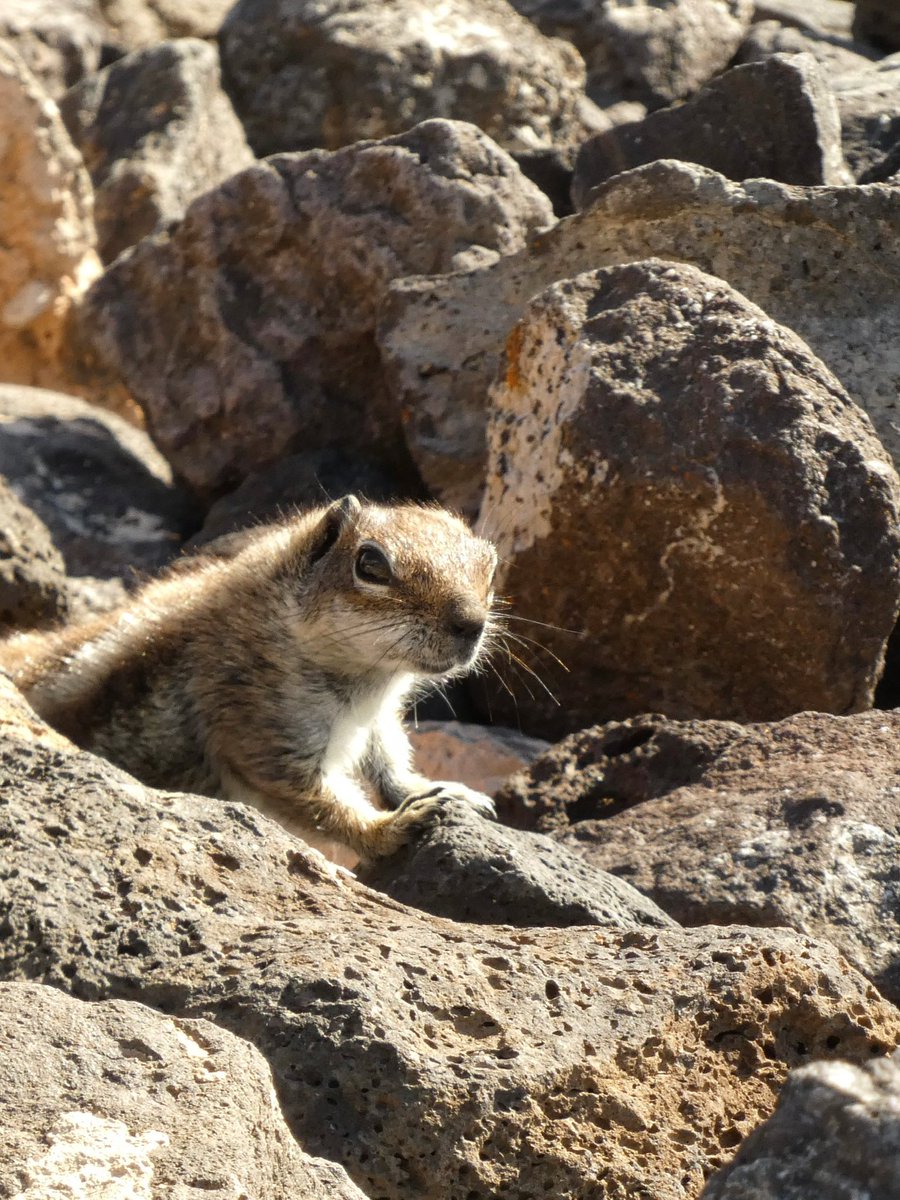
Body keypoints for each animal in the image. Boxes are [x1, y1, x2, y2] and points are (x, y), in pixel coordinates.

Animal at [0, 496, 499, 860]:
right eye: (371, 565)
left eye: (490, 568)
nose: (471, 624)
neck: (367, 683)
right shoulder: (257, 726)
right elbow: (319, 803)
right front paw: (393, 826)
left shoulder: (378, 721)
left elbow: (389, 763)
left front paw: (441, 790)